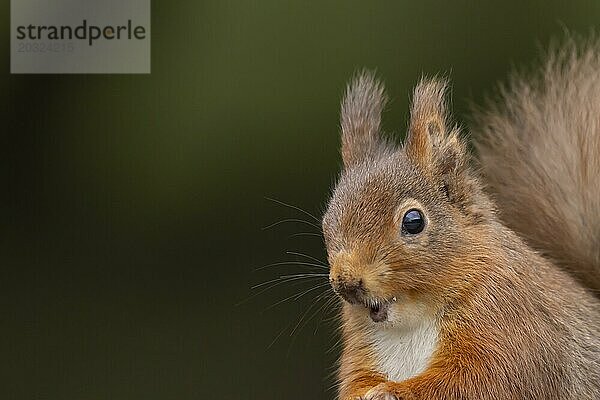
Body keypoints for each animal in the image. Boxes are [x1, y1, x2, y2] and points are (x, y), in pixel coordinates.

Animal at [324, 38, 600, 400]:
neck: (410, 325)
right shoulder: (364, 348)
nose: (347, 283)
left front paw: (390, 389)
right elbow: (357, 379)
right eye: (326, 222)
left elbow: (474, 380)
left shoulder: (511, 326)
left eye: (413, 221)